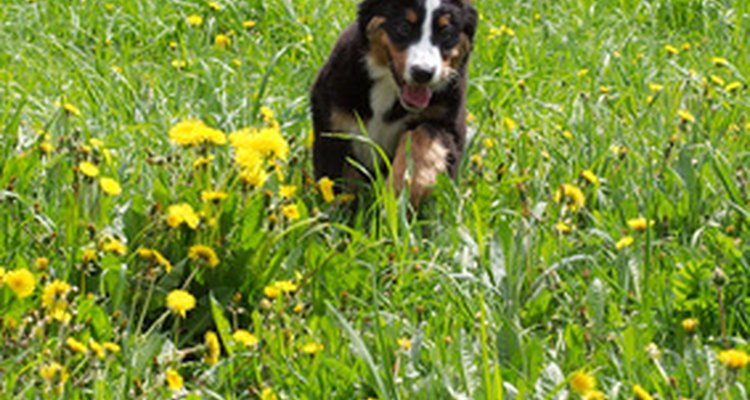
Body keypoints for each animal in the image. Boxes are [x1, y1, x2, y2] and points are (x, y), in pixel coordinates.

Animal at [312, 0, 478, 206]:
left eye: (446, 34)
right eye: (403, 27)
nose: (422, 73)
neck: (389, 88)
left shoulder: (449, 125)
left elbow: (422, 136)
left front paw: (405, 186)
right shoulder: (333, 126)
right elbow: (335, 184)